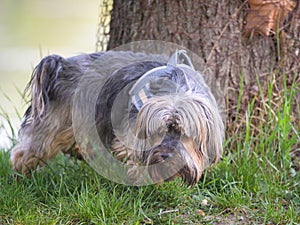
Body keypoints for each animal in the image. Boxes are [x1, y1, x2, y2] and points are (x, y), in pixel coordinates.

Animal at [10, 50, 224, 185]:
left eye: (184, 134)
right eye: (158, 131)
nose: (165, 156)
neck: (176, 89)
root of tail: (63, 65)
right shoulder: (130, 132)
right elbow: (134, 154)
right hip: (56, 122)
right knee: (28, 150)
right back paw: (21, 174)